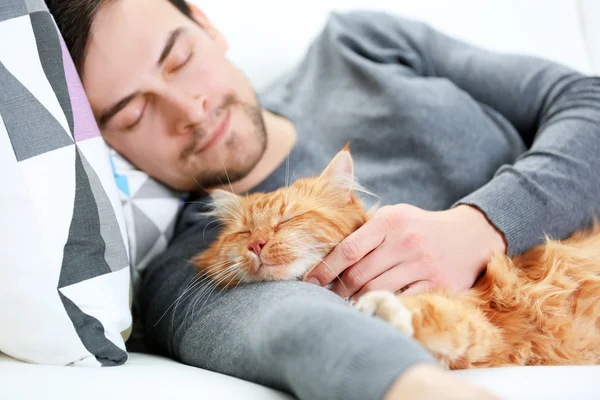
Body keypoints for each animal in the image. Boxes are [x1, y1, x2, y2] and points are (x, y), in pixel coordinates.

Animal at [192, 146, 600, 368]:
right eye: (244, 232)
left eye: (287, 219)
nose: (257, 244)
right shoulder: (487, 340)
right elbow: (449, 327)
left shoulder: (488, 320)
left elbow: (431, 314)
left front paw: (383, 309)